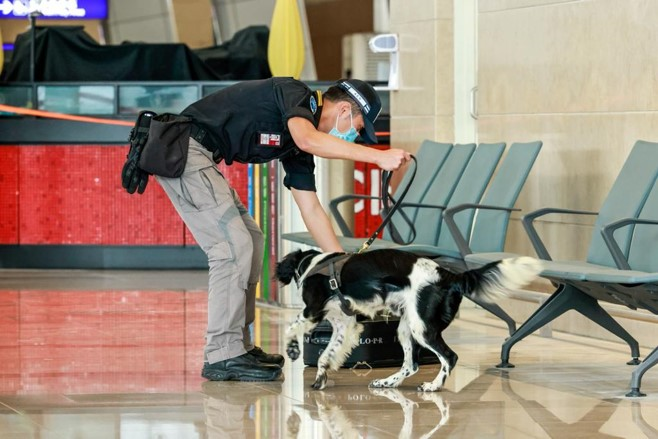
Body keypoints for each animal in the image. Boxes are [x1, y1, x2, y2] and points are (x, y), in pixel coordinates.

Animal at [274, 251, 540, 392]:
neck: (311, 264)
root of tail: (449, 275)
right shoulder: (344, 325)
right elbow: (325, 356)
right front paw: (320, 378)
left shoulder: (312, 310)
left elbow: (290, 329)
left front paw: (293, 349)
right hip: (405, 327)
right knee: (411, 364)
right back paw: (387, 382)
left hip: (421, 328)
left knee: (449, 357)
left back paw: (433, 386)